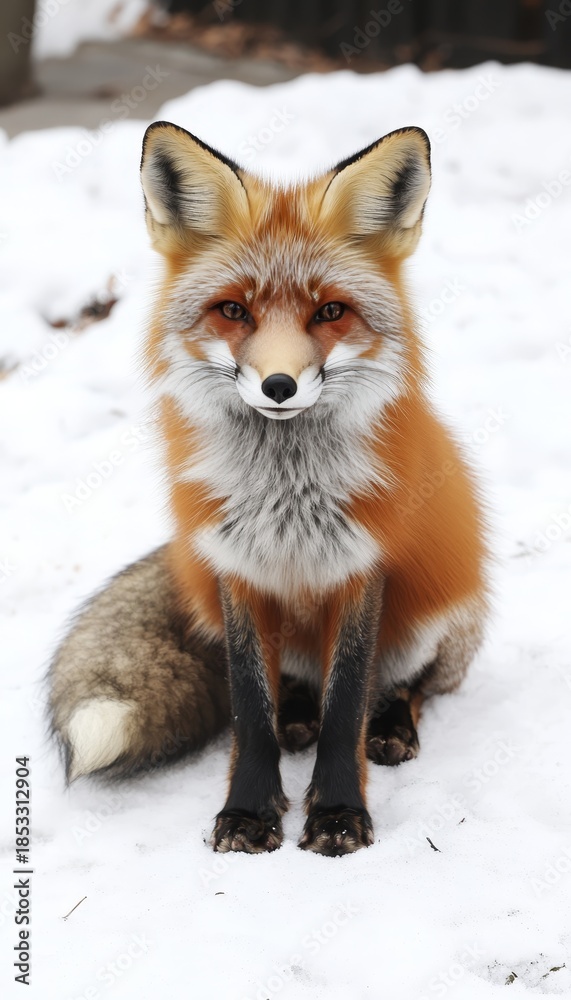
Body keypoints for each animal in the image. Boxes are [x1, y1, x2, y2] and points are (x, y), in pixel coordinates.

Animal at [49, 121, 489, 857]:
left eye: (330, 312)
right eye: (233, 310)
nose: (278, 385)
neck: (286, 499)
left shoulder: (360, 568)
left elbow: (347, 708)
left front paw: (337, 814)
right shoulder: (237, 571)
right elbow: (250, 711)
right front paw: (249, 812)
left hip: (438, 614)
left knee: (405, 687)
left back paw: (391, 727)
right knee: (290, 695)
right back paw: (296, 719)